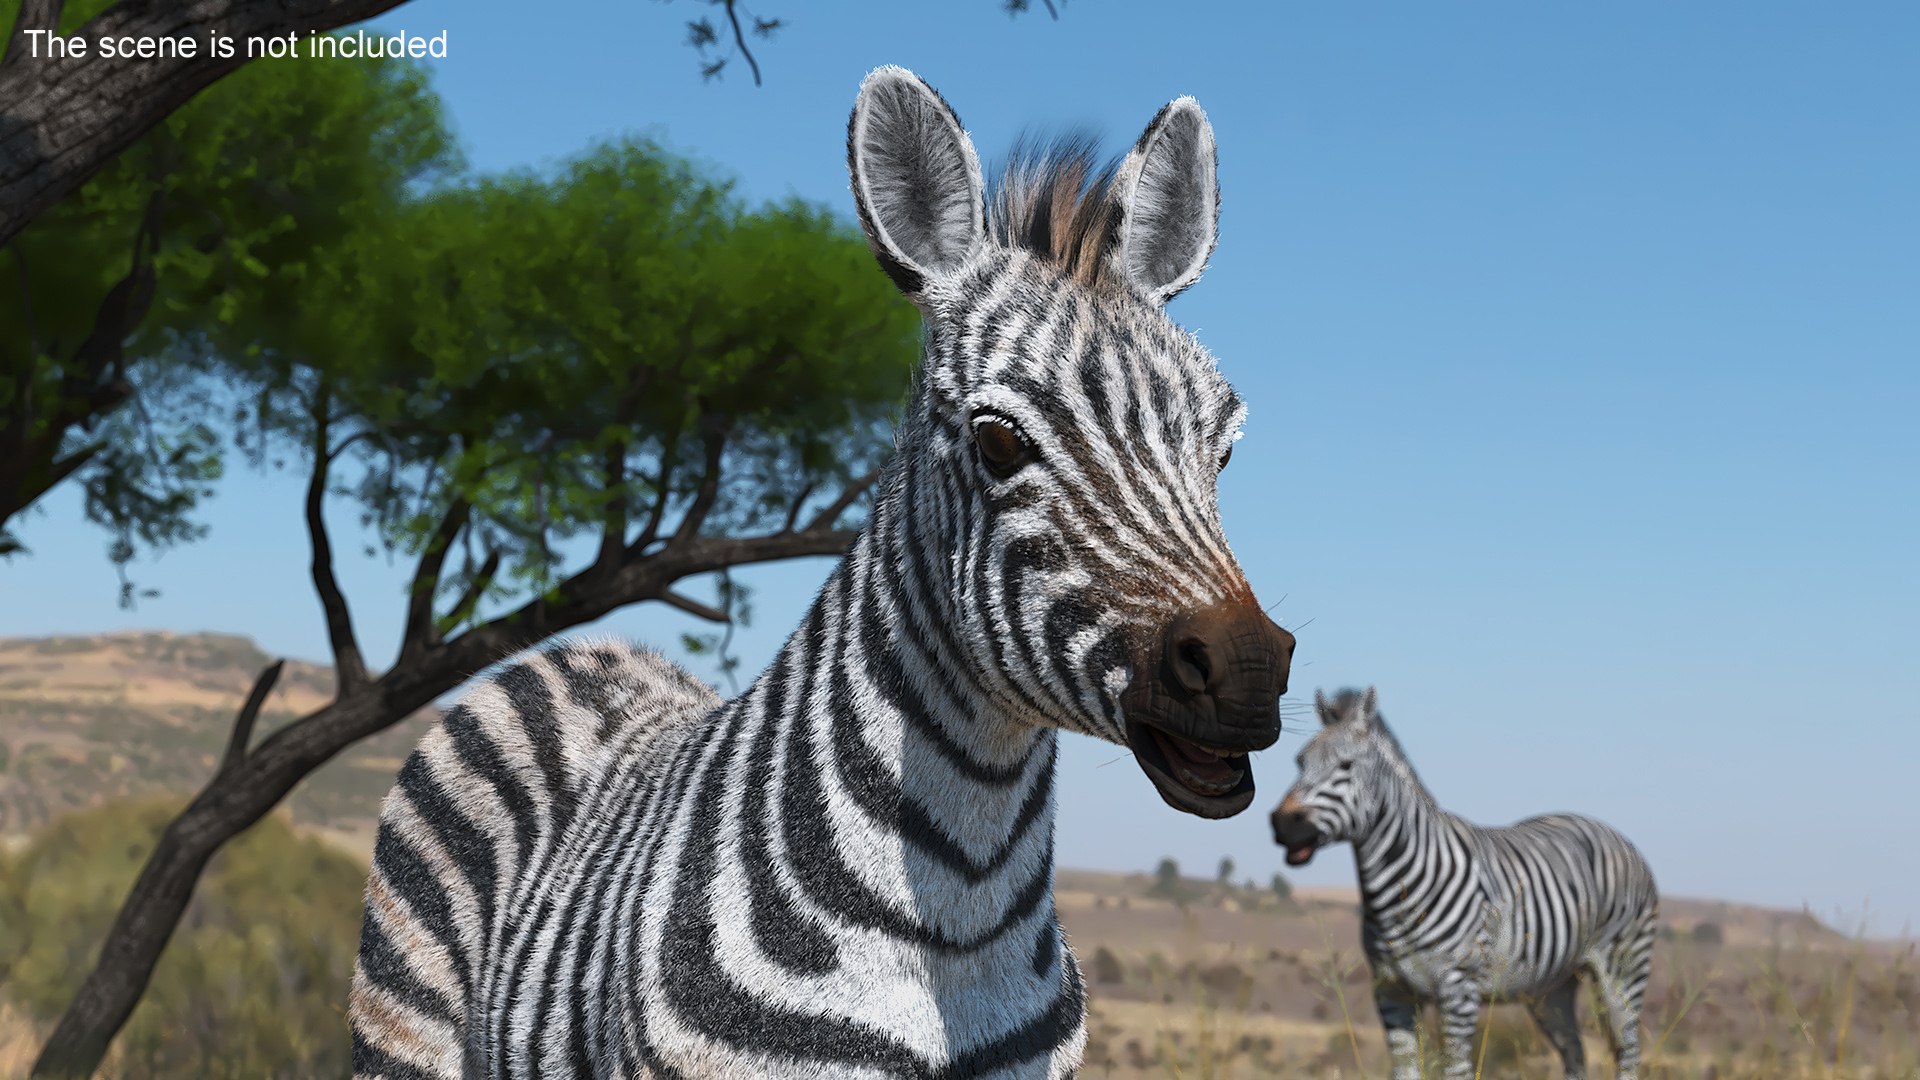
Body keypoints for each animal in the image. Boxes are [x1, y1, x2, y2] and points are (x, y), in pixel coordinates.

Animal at [1270, 688, 1658, 1080]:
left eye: (1346, 766)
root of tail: (1614, 832)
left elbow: (1456, 1070)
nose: (1281, 824)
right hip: (1551, 988)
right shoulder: (1391, 992)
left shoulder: (1458, 992)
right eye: (1299, 762)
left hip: (1623, 971)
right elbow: (1405, 1071)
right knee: (1574, 1050)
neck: (1398, 891)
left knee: (1627, 1049)